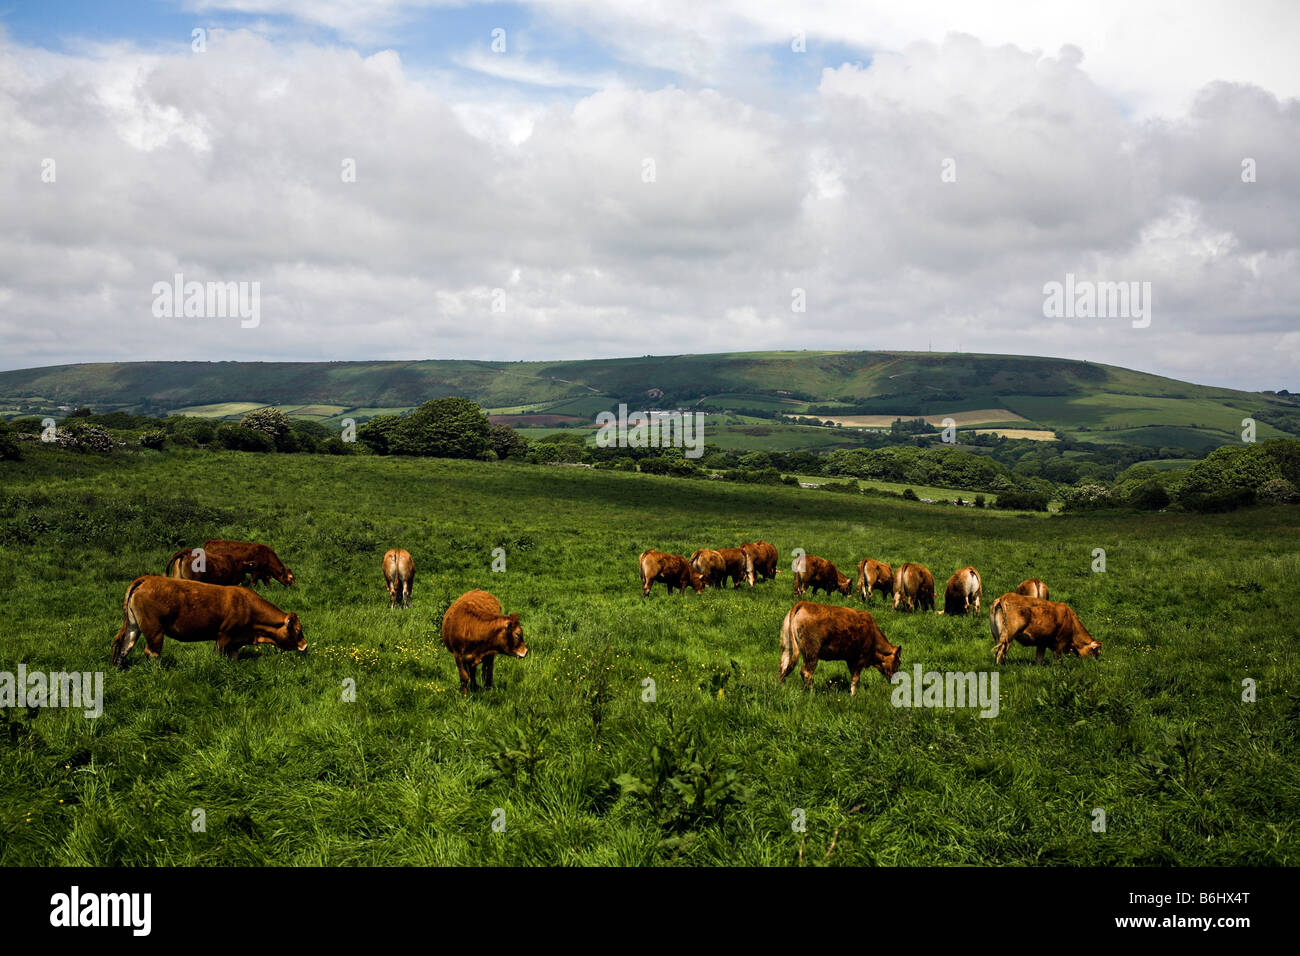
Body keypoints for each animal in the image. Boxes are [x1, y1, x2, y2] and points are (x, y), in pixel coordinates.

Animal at [109, 572, 306, 671]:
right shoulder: (224, 636)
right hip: (154, 630)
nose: (304, 646)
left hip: (134, 626)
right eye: (298, 630)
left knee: (124, 646)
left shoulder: (235, 642)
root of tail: (146, 579)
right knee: (152, 653)